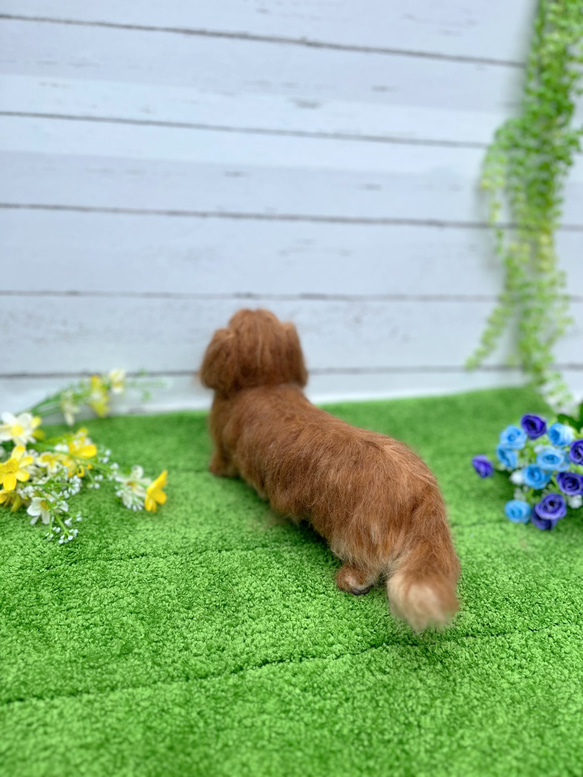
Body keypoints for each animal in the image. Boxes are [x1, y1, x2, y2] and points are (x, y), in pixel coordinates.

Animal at [201, 306, 460, 628]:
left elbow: (222, 462)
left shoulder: (222, 447)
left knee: (367, 566)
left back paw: (350, 581)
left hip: (354, 535)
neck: (266, 383)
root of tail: (422, 488)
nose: (248, 306)